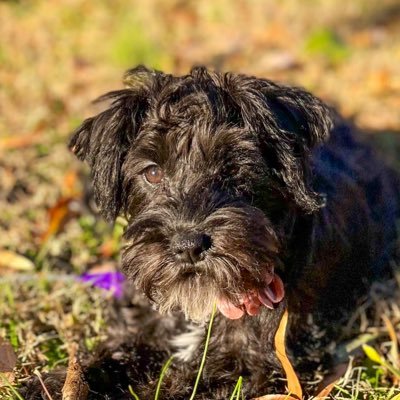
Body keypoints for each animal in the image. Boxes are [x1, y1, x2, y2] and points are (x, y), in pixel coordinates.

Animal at [66, 67, 400, 398]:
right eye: (153, 172)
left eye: (232, 168)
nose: (189, 246)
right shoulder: (145, 327)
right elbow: (110, 358)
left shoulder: (252, 364)